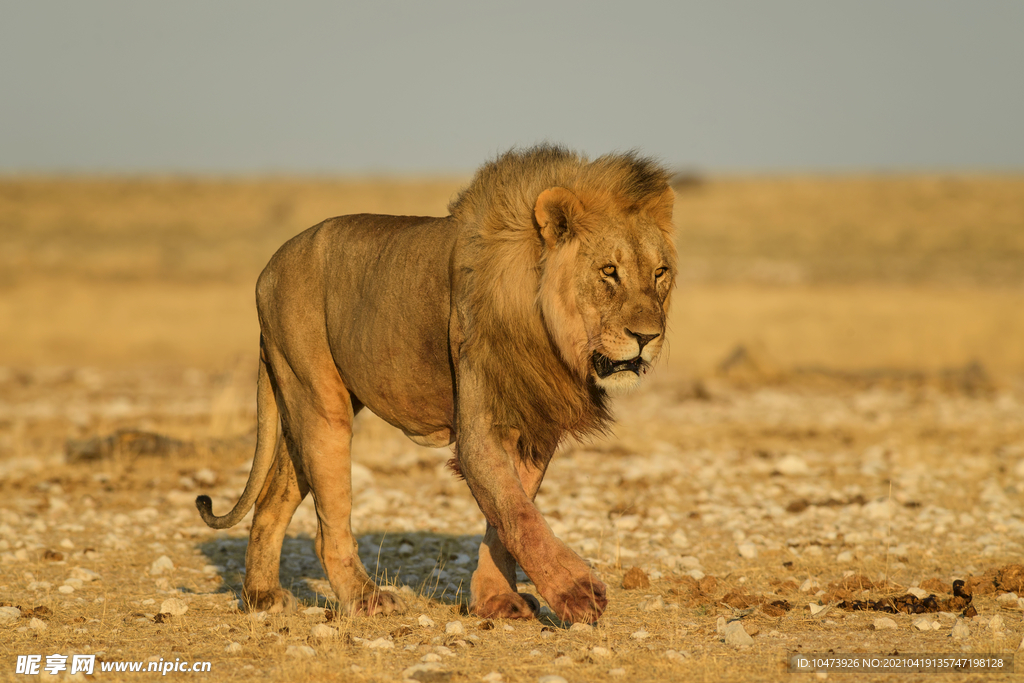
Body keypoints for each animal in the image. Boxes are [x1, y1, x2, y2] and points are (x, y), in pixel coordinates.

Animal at [197, 145, 679, 626]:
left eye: (659, 273)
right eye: (609, 271)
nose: (648, 337)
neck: (543, 326)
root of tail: (269, 268)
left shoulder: (534, 425)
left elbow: (506, 517)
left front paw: (496, 601)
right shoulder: (479, 428)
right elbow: (519, 514)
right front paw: (577, 593)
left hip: (304, 410)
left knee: (271, 499)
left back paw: (261, 596)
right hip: (320, 402)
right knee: (328, 521)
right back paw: (365, 598)